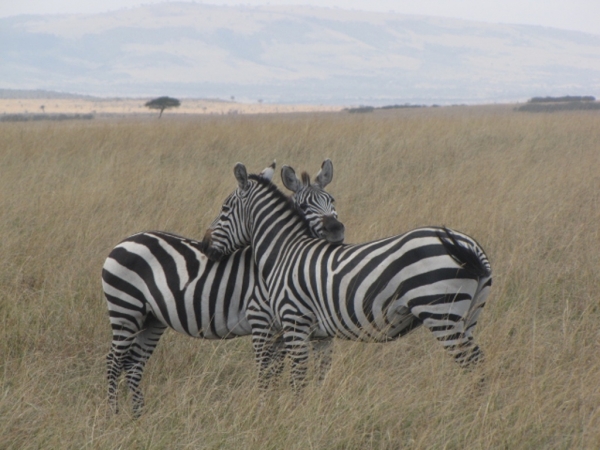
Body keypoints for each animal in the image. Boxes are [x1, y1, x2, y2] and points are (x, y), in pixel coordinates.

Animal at [103, 160, 342, 416]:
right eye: (304, 206)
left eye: (332, 200)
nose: (336, 229)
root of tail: (126, 240)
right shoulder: (261, 320)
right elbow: (265, 372)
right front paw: (264, 410)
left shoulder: (284, 328)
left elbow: (280, 372)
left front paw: (277, 409)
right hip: (125, 309)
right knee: (114, 361)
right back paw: (113, 415)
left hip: (151, 319)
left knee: (133, 363)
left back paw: (138, 415)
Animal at [199, 162, 490, 390]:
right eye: (303, 205)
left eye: (224, 209)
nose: (204, 246)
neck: (286, 250)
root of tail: (470, 245)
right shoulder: (319, 335)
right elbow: (316, 378)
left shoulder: (294, 323)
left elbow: (296, 380)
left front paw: (292, 413)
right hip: (469, 315)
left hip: (441, 313)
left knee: (474, 365)